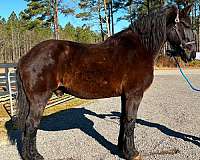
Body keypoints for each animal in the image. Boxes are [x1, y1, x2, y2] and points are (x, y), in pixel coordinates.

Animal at [16, 4, 196, 160]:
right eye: (185, 25)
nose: (192, 54)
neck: (140, 48)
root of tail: (26, 57)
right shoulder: (134, 94)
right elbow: (131, 121)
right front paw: (132, 153)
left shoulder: (125, 95)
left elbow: (124, 120)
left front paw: (121, 148)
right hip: (39, 100)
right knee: (31, 125)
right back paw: (34, 156)